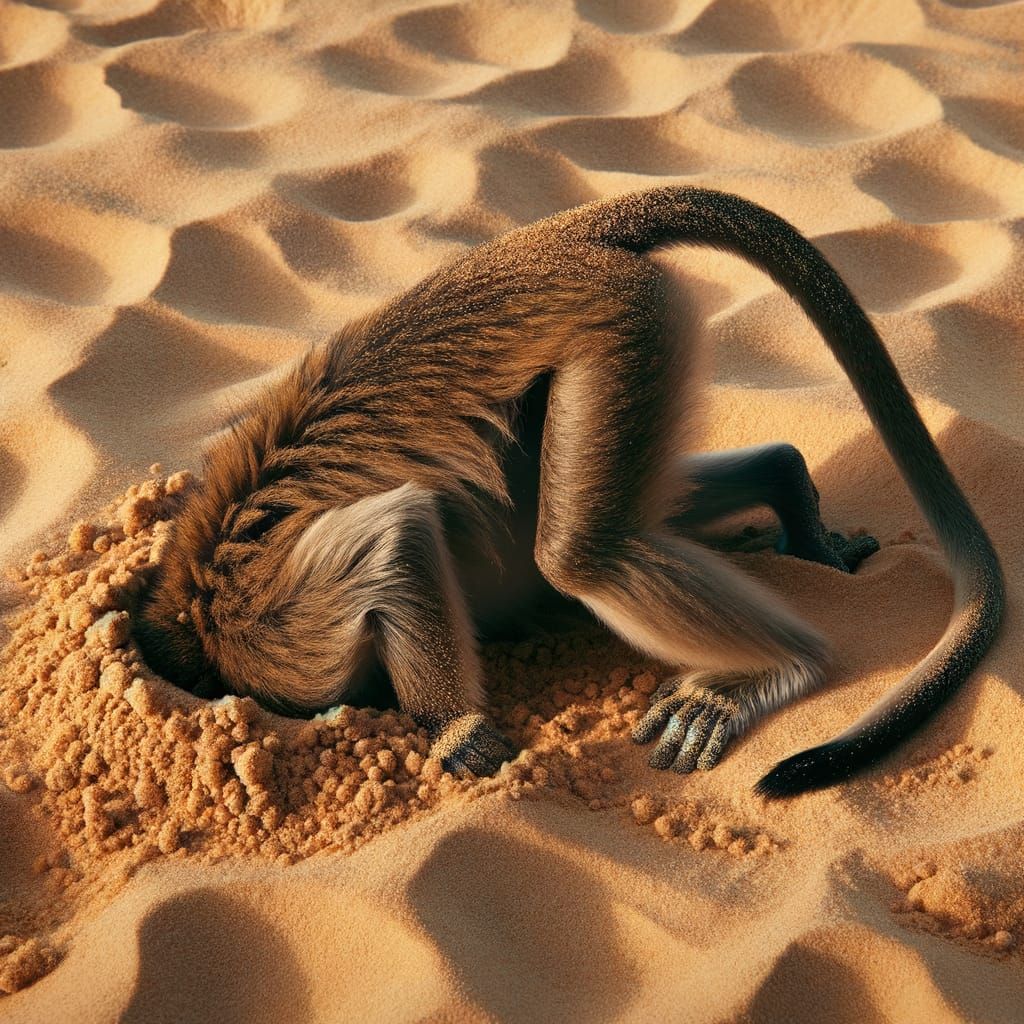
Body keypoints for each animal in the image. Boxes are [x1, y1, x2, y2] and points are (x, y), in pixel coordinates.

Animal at [133, 186, 1004, 797]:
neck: (194, 593)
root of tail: (550, 240)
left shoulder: (273, 630)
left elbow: (399, 532)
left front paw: (456, 733)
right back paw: (786, 489)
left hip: (620, 320)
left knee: (578, 551)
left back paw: (772, 668)